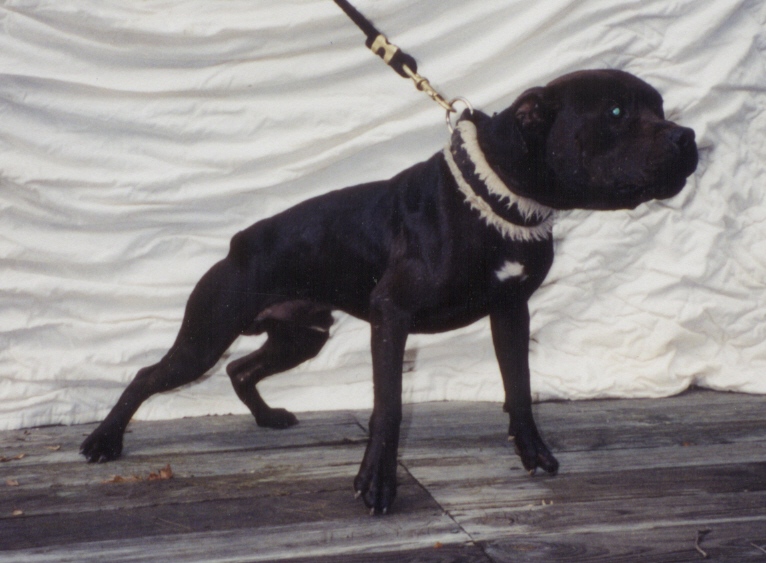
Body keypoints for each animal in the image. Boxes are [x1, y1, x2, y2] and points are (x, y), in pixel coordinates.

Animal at [81, 69, 700, 516]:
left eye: (660, 108)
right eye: (617, 113)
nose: (687, 135)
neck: (500, 197)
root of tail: (240, 242)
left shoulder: (511, 312)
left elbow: (520, 389)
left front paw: (533, 454)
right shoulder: (392, 316)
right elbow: (389, 408)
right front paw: (376, 485)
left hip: (300, 337)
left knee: (241, 368)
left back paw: (268, 418)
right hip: (209, 333)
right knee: (150, 376)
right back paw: (103, 441)